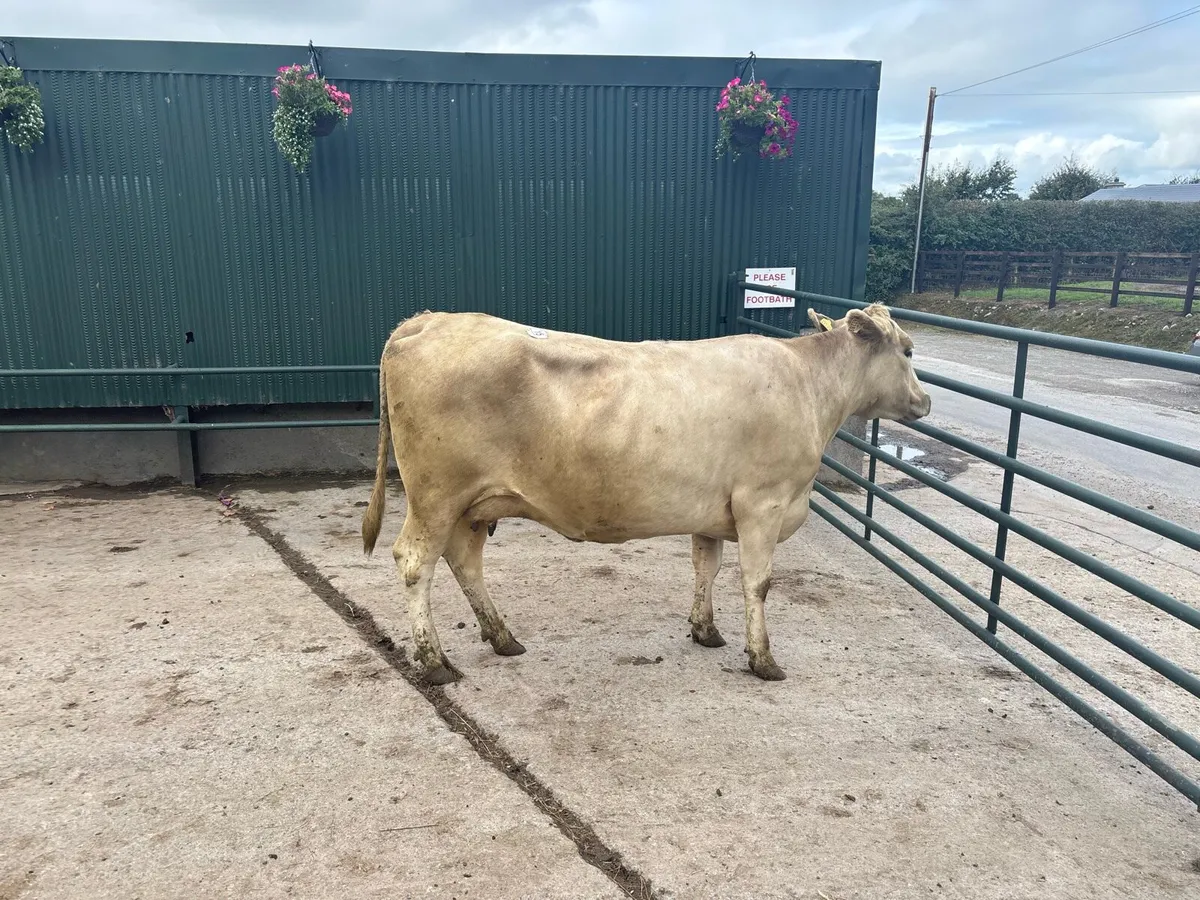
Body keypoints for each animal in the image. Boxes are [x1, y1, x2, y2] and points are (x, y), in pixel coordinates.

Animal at [361, 303, 931, 685]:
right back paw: (434, 662)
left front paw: (706, 630)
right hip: (436, 497)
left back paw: (503, 638)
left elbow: (707, 567)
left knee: (464, 561)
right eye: (907, 350)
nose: (924, 401)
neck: (809, 388)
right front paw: (763, 659)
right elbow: (758, 583)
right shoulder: (762, 504)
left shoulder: (715, 510)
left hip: (472, 504)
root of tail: (427, 319)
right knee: (415, 563)